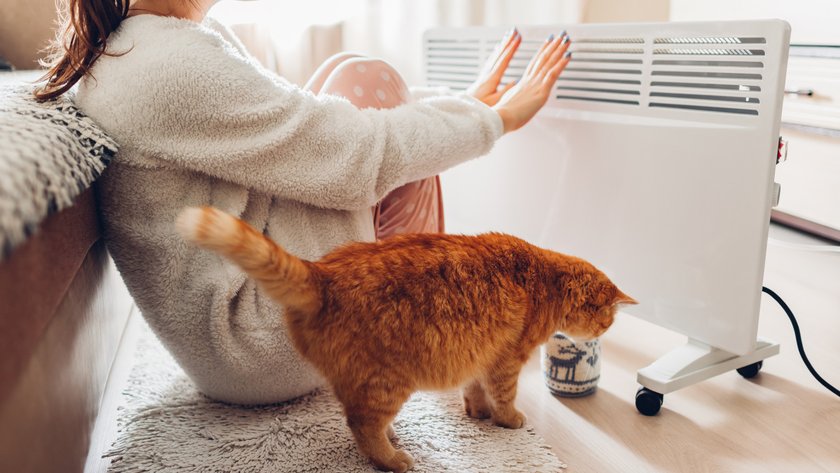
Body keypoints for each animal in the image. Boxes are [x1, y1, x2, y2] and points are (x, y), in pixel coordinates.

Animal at [179, 207, 636, 472]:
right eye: (606, 322)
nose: (605, 332)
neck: (546, 279)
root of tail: (323, 273)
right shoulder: (506, 361)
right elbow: (504, 398)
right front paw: (507, 419)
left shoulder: (482, 355)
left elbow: (474, 390)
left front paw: (477, 413)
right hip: (389, 381)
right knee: (361, 425)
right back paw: (393, 459)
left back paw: (394, 438)